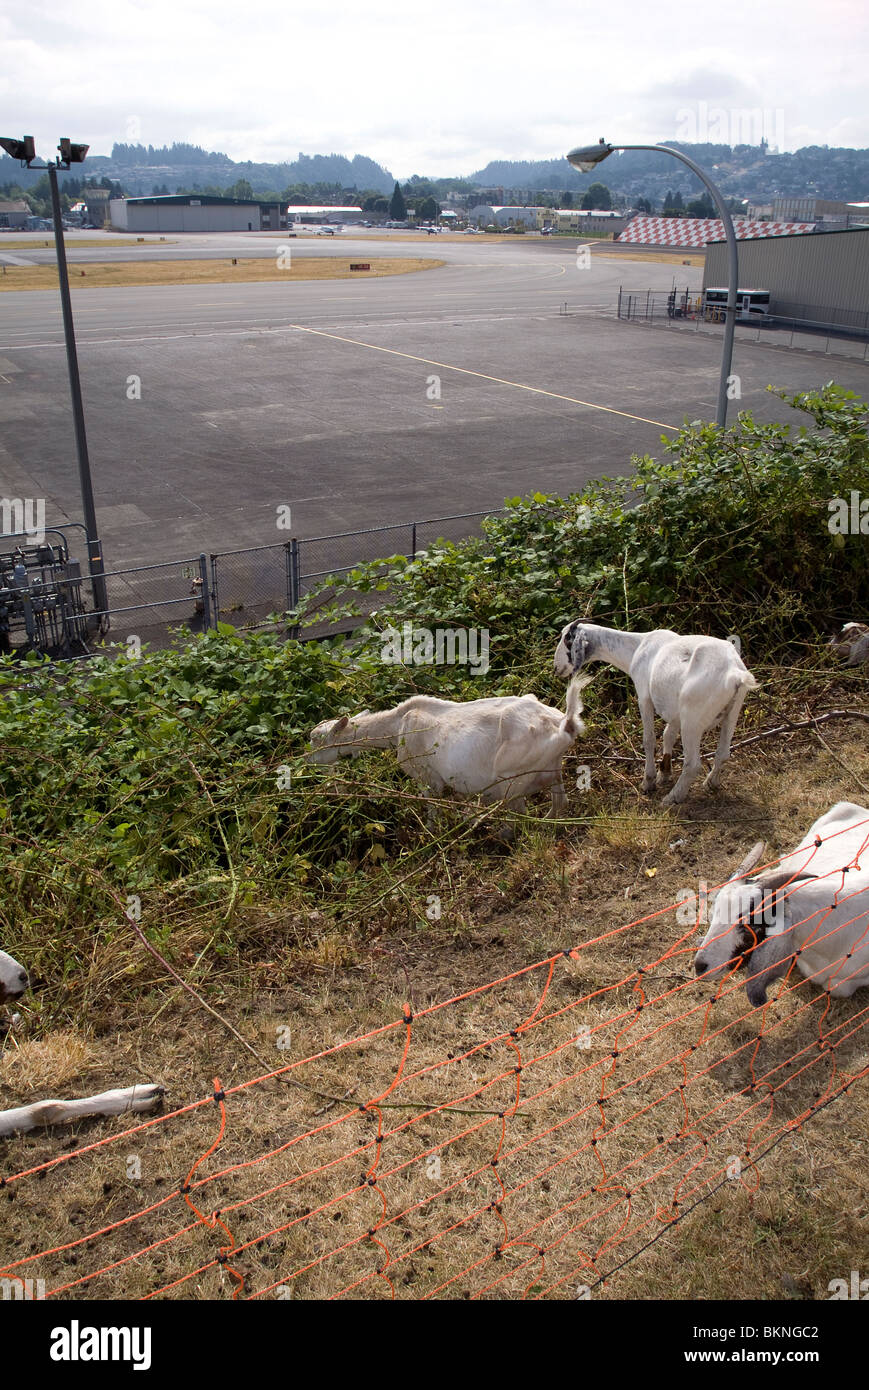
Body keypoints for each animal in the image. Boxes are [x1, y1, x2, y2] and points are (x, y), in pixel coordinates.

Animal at [307, 674, 592, 826]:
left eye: (315, 739)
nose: (307, 761)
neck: (398, 724)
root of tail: (563, 723)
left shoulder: (427, 777)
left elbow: (431, 807)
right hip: (551, 766)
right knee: (559, 802)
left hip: (512, 777)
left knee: (520, 813)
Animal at [553, 621, 756, 805]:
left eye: (566, 639)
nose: (556, 668)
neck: (636, 647)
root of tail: (735, 673)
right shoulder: (673, 709)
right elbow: (668, 735)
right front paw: (664, 773)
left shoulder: (644, 697)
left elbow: (649, 739)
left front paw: (648, 781)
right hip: (732, 711)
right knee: (723, 752)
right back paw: (711, 783)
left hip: (692, 718)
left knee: (692, 764)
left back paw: (673, 797)